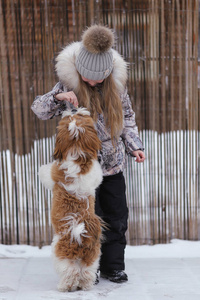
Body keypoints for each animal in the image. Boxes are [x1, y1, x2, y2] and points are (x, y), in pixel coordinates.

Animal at [38, 108, 103, 292]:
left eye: (74, 116)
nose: (73, 108)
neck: (77, 152)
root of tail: (79, 232)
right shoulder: (95, 172)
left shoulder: (54, 173)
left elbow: (46, 172)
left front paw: (41, 169)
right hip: (92, 256)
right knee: (86, 271)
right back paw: (86, 285)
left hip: (60, 253)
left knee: (71, 271)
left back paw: (64, 286)